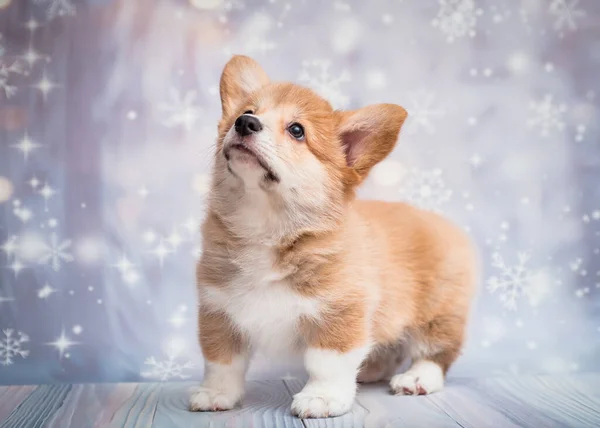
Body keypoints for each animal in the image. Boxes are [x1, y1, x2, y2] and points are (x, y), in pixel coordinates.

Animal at [190, 54, 476, 418]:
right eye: (249, 111)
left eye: (297, 130)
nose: (244, 123)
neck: (267, 225)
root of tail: (443, 223)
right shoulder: (219, 311)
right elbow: (221, 362)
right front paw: (215, 394)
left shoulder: (339, 313)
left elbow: (326, 363)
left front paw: (322, 398)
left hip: (438, 315)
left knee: (435, 352)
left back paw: (416, 378)